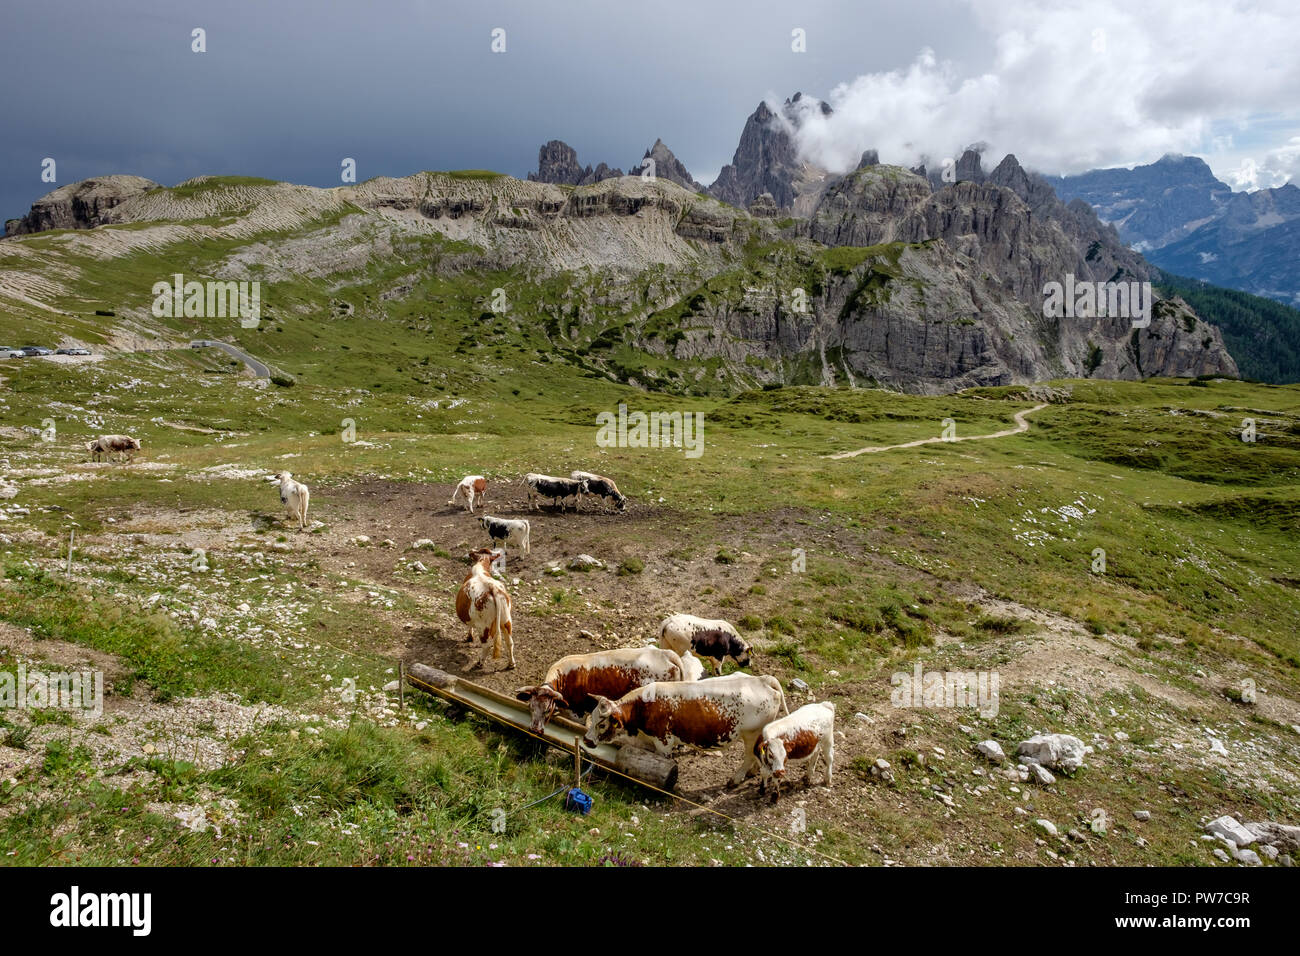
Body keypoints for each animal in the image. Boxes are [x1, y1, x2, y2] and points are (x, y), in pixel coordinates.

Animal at [585, 671, 785, 785]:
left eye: (601, 723)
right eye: (591, 717)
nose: (586, 740)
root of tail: (763, 679)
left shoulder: (663, 742)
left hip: (751, 734)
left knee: (749, 756)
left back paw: (736, 779)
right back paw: (752, 772)